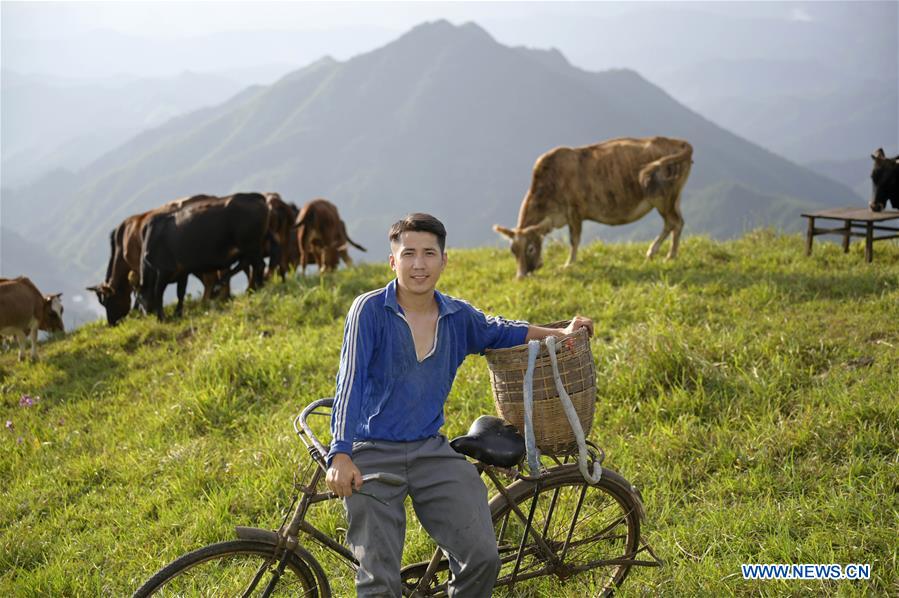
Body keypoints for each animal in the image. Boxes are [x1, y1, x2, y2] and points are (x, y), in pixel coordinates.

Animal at [138, 195, 268, 322]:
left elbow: (158, 293)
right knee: (249, 264)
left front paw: (161, 318)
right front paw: (178, 313)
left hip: (250, 245)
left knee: (258, 265)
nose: (146, 314)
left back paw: (255, 287)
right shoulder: (182, 271)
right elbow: (180, 293)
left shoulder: (163, 271)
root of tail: (255, 197)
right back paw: (250, 288)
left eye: (139, 298)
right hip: (250, 248)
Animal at [492, 137, 696, 278]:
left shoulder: (574, 211)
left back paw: (669, 255)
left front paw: (569, 264)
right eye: (512, 250)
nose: (520, 276)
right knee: (674, 223)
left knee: (674, 223)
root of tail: (678, 142)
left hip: (663, 197)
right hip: (674, 197)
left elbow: (574, 240)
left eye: (531, 249)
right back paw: (655, 252)